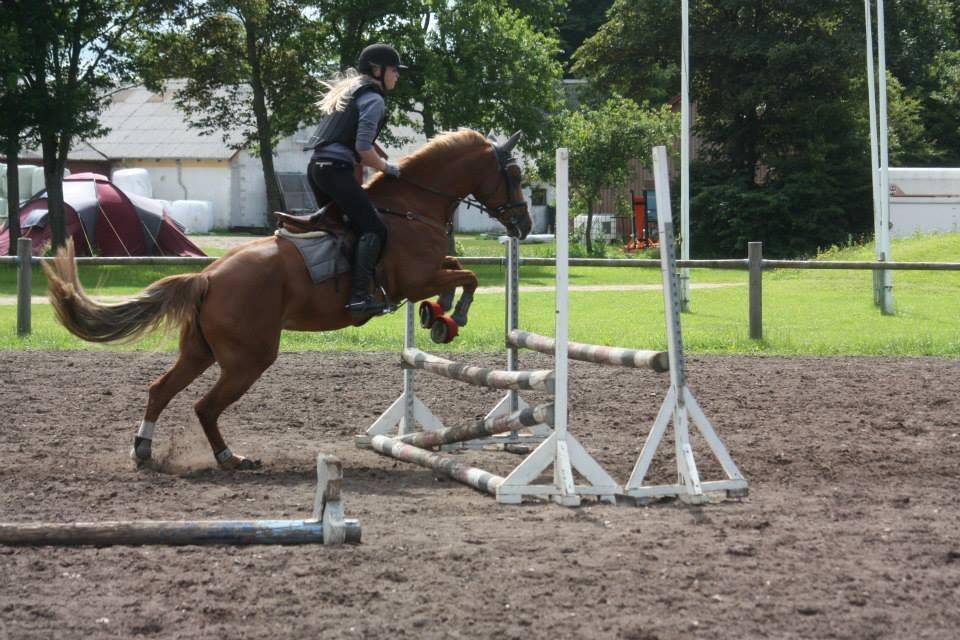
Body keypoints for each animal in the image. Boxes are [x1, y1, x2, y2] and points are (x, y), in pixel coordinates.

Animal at [43, 130, 532, 470]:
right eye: (514, 175)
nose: (525, 226)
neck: (412, 207)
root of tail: (207, 276)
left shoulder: (426, 272)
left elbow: (456, 268)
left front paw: (438, 314)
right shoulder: (413, 280)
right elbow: (467, 276)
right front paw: (450, 316)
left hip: (201, 351)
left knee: (161, 389)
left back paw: (144, 451)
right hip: (249, 358)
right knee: (205, 406)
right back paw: (230, 459)